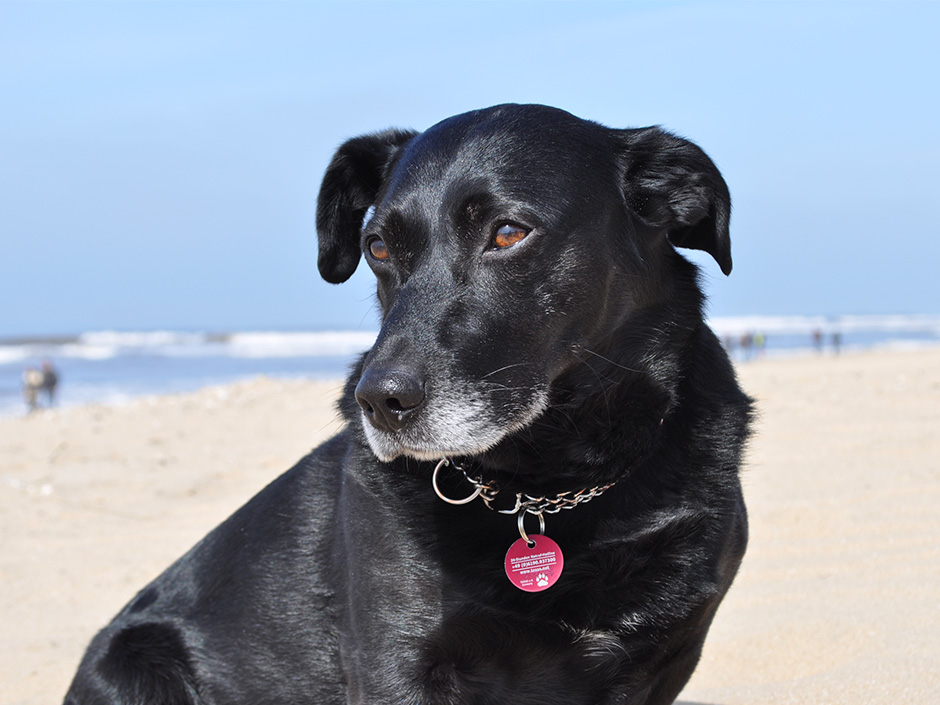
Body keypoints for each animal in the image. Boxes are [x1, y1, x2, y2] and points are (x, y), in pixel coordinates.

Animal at [64, 104, 748, 704]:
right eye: (378, 247)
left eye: (508, 233)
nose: (378, 401)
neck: (547, 486)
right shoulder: (399, 660)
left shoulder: (661, 661)